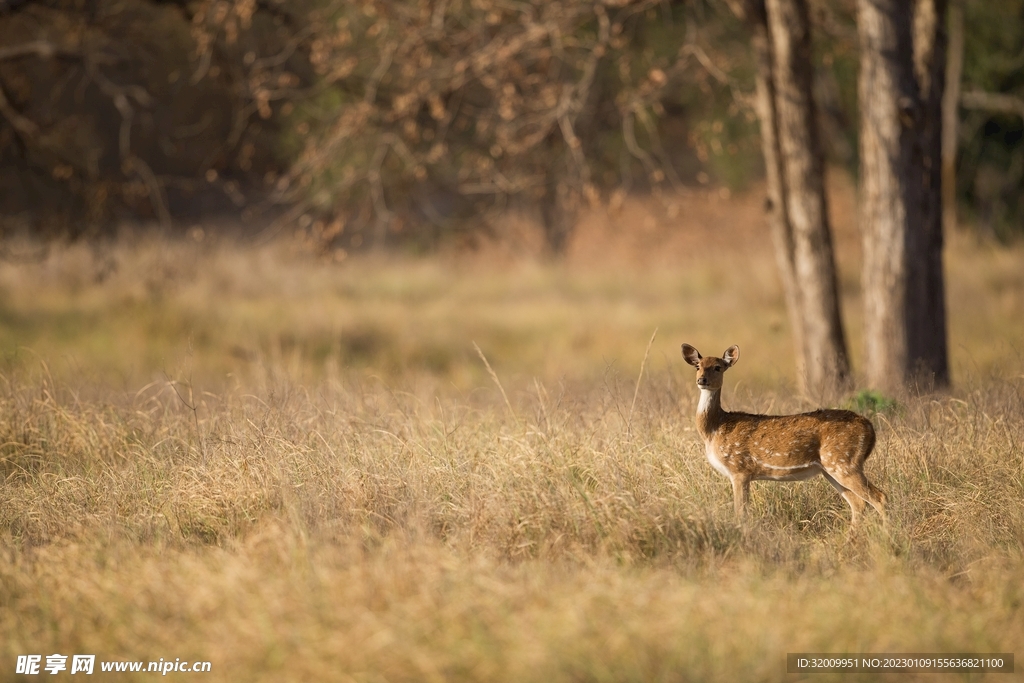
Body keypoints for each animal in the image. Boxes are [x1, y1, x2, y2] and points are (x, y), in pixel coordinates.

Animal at [681, 343, 887, 527]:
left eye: (717, 367)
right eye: (698, 366)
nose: (702, 380)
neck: (714, 429)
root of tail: (870, 429)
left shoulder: (739, 469)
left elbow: (741, 513)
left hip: (844, 461)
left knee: (879, 497)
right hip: (830, 468)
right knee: (858, 503)